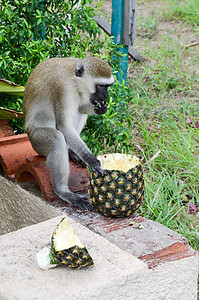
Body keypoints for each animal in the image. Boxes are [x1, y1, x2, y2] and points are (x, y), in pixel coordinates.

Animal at [23, 56, 114, 211]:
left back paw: (70, 151)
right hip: (35, 140)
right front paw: (92, 160)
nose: (106, 96)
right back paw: (63, 191)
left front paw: (101, 108)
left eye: (107, 86)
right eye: (101, 86)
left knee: (78, 112)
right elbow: (64, 127)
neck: (74, 80)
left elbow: (81, 108)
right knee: (57, 138)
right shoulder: (64, 90)